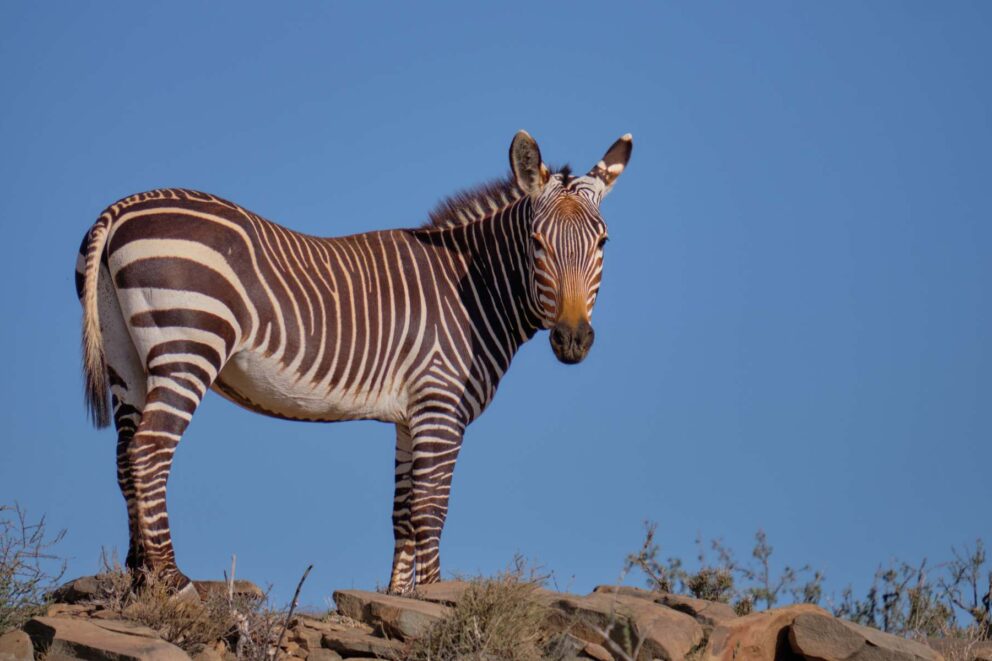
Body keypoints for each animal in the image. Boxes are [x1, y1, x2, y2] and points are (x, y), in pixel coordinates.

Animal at [76, 130, 632, 596]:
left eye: (603, 242)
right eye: (537, 243)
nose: (573, 339)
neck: (476, 291)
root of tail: (123, 207)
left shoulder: (410, 416)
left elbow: (403, 513)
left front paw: (398, 597)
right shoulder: (439, 405)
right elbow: (430, 509)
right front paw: (436, 596)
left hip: (127, 360)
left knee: (125, 458)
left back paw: (139, 576)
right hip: (188, 346)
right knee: (150, 452)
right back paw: (174, 579)